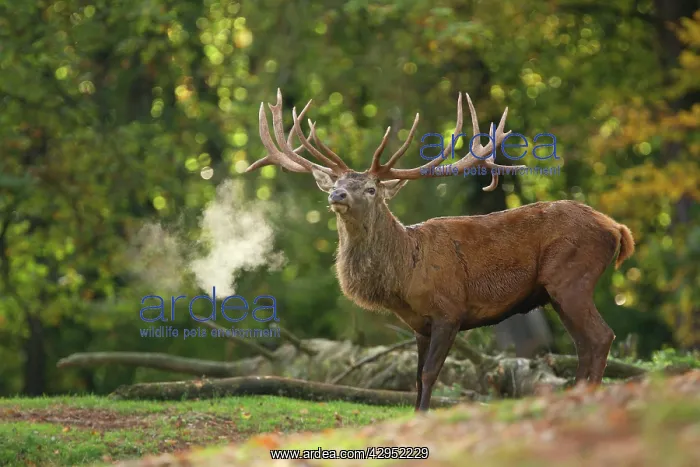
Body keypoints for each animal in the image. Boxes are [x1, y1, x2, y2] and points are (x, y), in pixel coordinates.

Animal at [246, 89, 635, 411]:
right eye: (338, 182)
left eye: (371, 188)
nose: (336, 195)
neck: (404, 274)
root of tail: (616, 229)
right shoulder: (419, 325)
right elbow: (417, 378)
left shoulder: (450, 310)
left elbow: (431, 374)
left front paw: (422, 415)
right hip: (556, 293)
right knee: (584, 344)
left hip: (571, 277)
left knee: (601, 337)